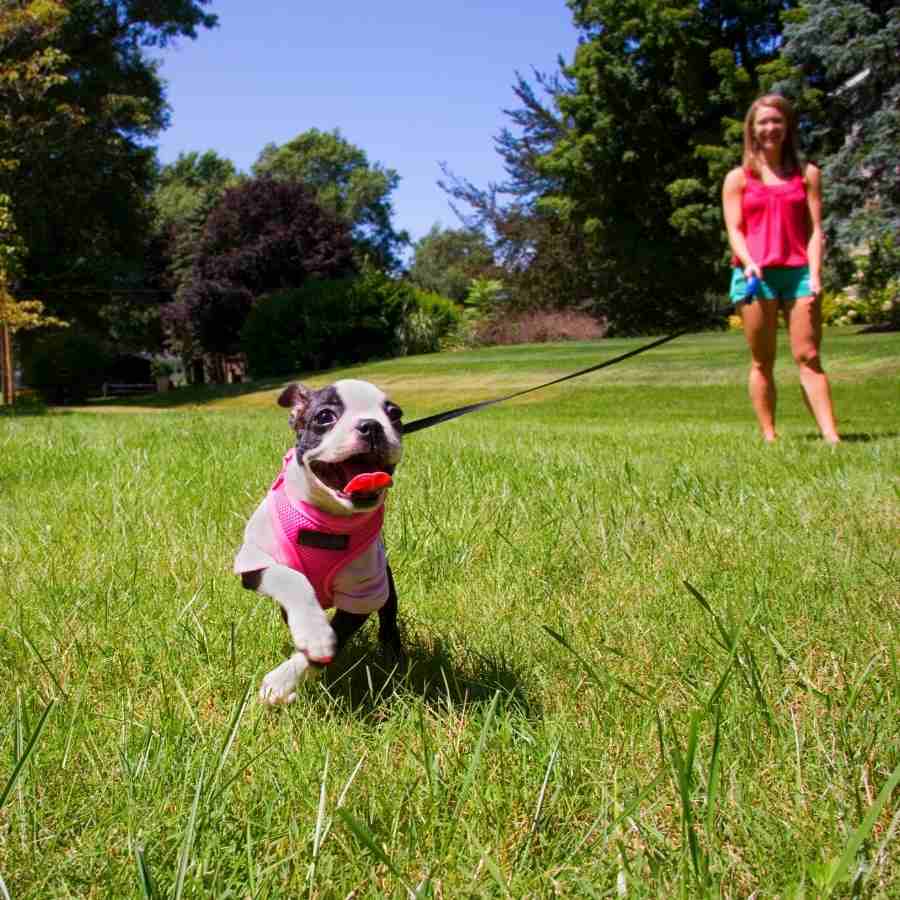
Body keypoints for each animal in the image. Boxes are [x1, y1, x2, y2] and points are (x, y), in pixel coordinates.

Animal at [234, 376, 402, 708]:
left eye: (395, 415)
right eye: (325, 416)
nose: (372, 426)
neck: (326, 521)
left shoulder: (363, 593)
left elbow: (333, 640)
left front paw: (282, 681)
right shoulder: (255, 561)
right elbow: (291, 578)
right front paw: (312, 631)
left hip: (385, 584)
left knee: (389, 614)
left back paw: (392, 652)